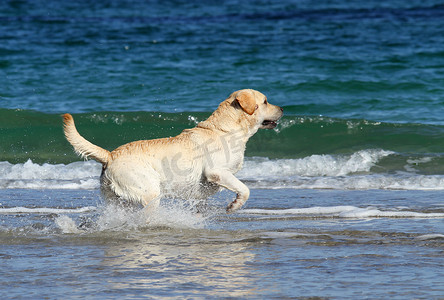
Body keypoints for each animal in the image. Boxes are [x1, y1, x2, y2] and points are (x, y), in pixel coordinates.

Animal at [64, 89, 282, 213]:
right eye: (265, 101)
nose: (282, 108)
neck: (225, 129)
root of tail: (110, 155)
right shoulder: (217, 172)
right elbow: (245, 189)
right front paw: (234, 205)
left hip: (116, 199)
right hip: (150, 191)